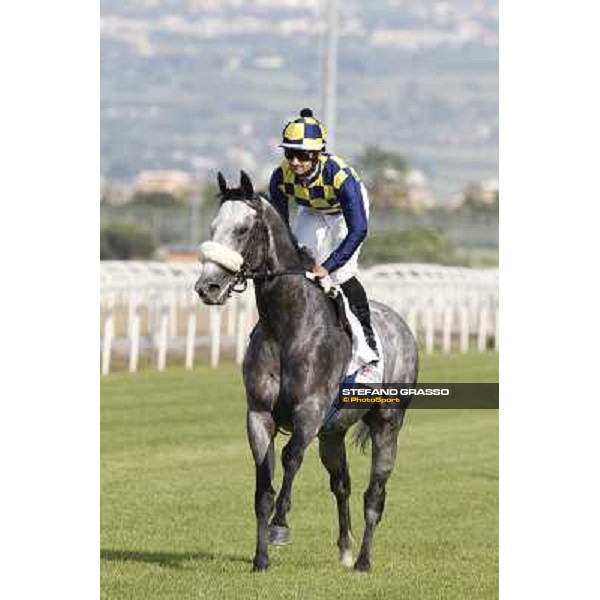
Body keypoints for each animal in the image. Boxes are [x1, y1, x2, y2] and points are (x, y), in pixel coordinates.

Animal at [195, 170, 420, 572]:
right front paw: (260, 559)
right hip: (333, 433)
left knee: (374, 493)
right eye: (213, 226)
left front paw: (279, 527)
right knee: (342, 484)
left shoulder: (310, 411)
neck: (286, 326)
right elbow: (263, 482)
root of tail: (402, 325)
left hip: (387, 423)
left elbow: (289, 458)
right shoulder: (259, 414)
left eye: (242, 229)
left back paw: (363, 560)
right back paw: (345, 550)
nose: (208, 287)